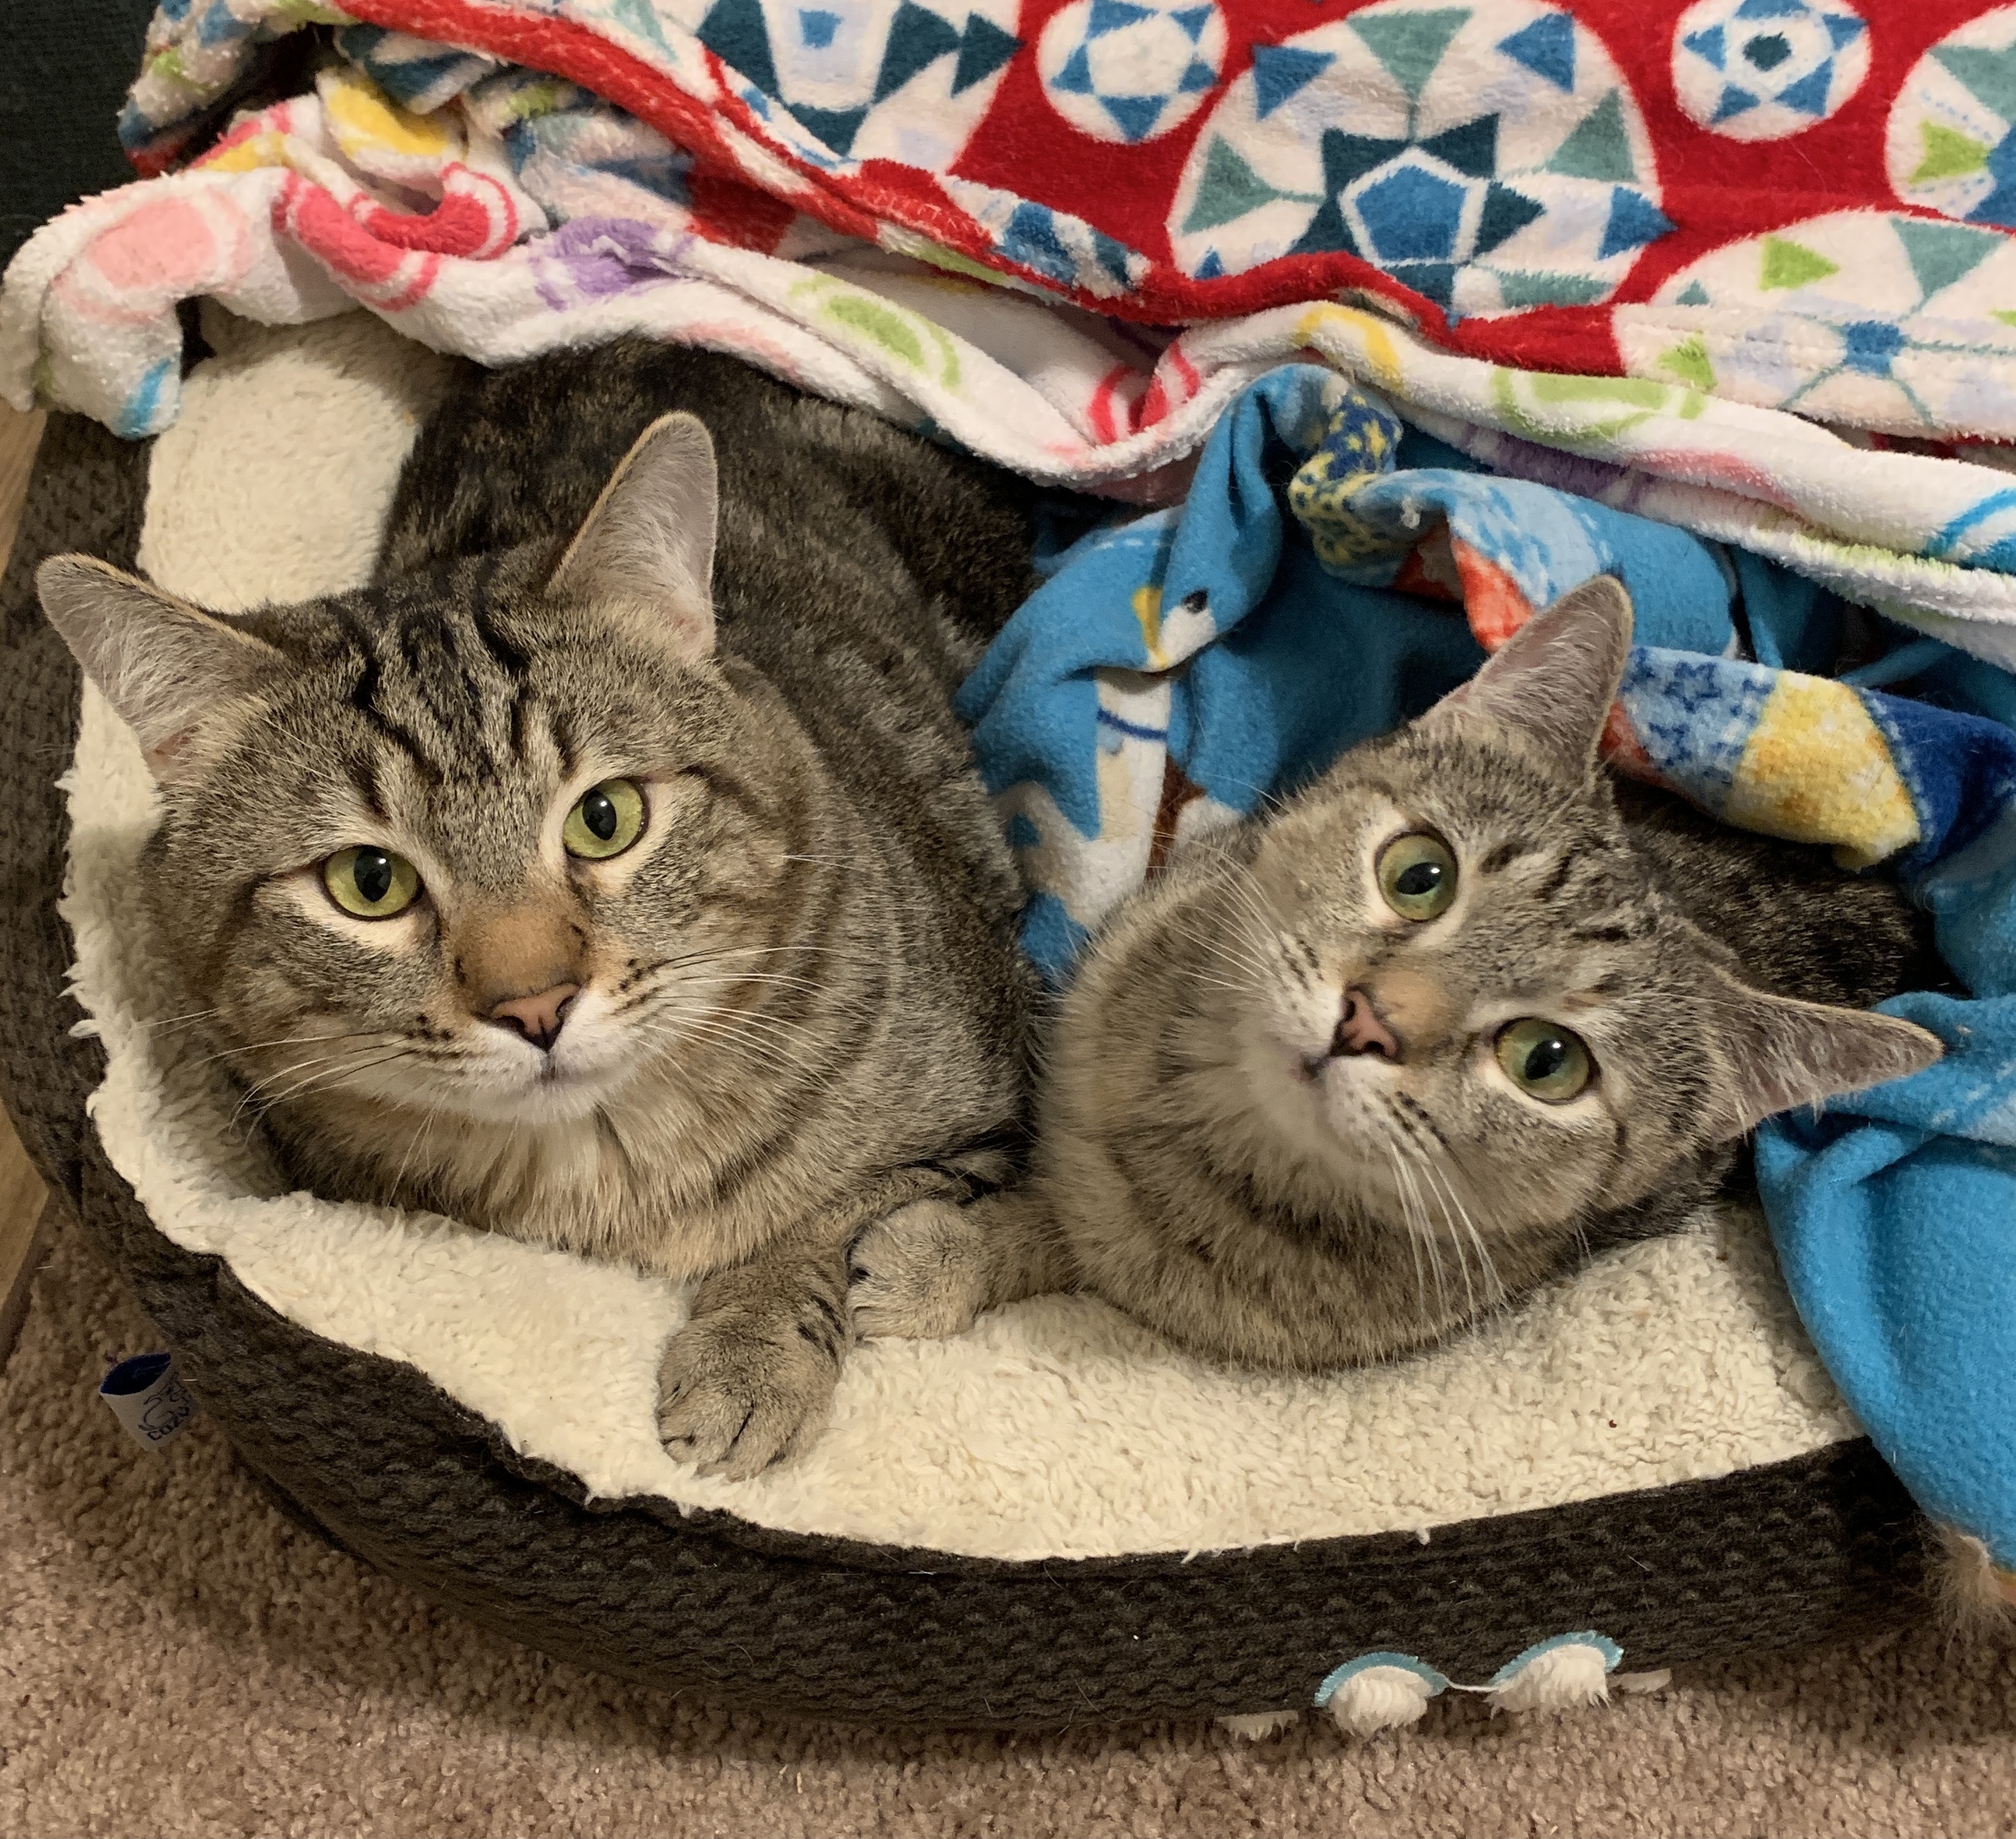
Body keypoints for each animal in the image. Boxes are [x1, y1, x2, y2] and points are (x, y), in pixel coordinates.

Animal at [43, 334, 1040, 1475]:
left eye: (605, 817)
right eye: (369, 882)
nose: (536, 1005)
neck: (610, 1170)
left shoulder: (989, 1113)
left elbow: (831, 1212)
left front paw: (752, 1342)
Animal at [854, 581, 1951, 1371]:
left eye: (1547, 1061)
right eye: (1418, 874)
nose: (1369, 1019)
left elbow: (1069, 1244)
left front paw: (941, 1265)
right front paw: (963, 1249)